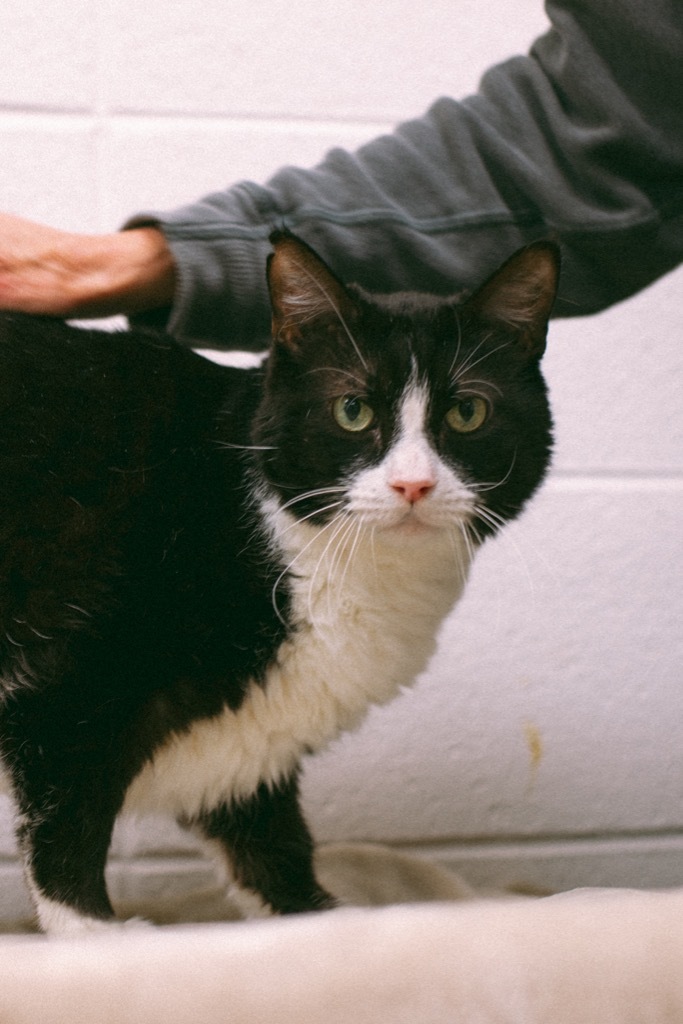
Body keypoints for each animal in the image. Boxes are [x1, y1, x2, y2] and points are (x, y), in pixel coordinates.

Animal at [0, 234, 557, 937]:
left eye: (467, 412)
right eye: (352, 410)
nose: (413, 484)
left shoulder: (243, 743)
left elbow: (271, 850)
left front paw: (325, 923)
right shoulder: (69, 683)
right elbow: (65, 834)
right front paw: (99, 939)